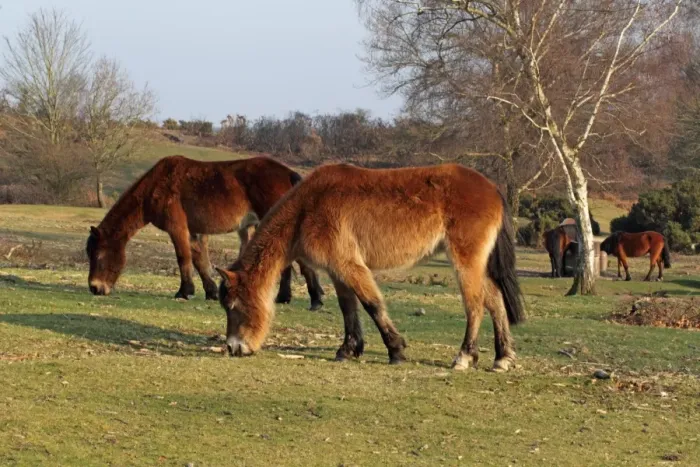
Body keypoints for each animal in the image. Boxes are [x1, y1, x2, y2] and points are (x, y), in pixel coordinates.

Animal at [86, 155, 324, 309]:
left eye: (98, 256)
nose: (95, 288)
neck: (156, 186)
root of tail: (288, 173)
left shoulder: (177, 228)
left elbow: (183, 258)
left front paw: (184, 291)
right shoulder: (193, 232)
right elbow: (200, 260)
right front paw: (210, 291)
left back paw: (315, 299)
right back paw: (286, 297)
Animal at [215, 162, 525, 372]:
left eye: (233, 306)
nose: (232, 347)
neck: (308, 207)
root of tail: (493, 188)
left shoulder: (349, 265)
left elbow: (372, 304)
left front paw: (396, 351)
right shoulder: (337, 271)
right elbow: (348, 308)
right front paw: (348, 349)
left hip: (465, 262)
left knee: (475, 305)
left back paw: (464, 356)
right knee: (495, 300)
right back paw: (502, 358)